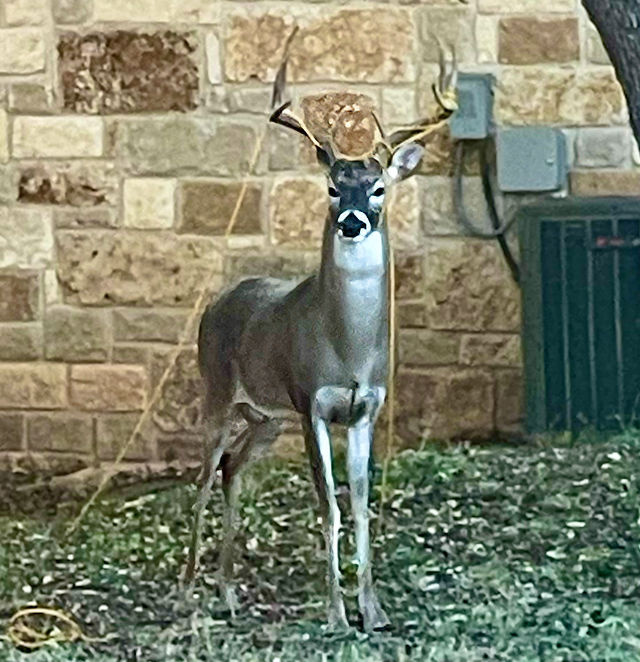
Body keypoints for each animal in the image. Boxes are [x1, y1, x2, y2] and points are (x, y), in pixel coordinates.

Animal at [185, 46, 460, 632]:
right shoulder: (312, 401)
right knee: (203, 475)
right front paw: (336, 614)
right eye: (333, 187)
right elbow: (328, 505)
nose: (353, 222)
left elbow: (359, 504)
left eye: (379, 188)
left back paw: (228, 591)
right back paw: (189, 587)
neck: (348, 350)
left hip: (266, 418)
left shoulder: (364, 408)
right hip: (216, 393)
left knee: (231, 469)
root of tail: (214, 304)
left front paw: (373, 611)